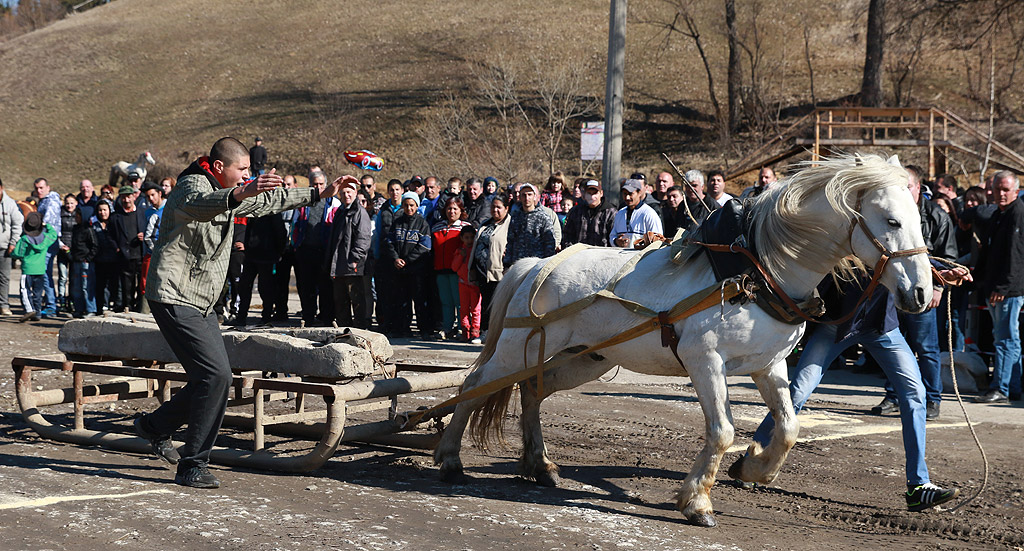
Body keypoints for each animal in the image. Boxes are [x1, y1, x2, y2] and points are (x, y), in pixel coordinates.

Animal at [434, 152, 937, 524]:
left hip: (582, 359)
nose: (921, 293)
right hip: (516, 350)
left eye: (921, 219)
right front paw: (697, 501)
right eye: (892, 221)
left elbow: (789, 426)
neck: (758, 272)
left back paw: (539, 465)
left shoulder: (768, 365)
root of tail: (535, 263)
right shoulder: (705, 360)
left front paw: (754, 467)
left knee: (532, 391)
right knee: (473, 387)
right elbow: (723, 430)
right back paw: (450, 459)